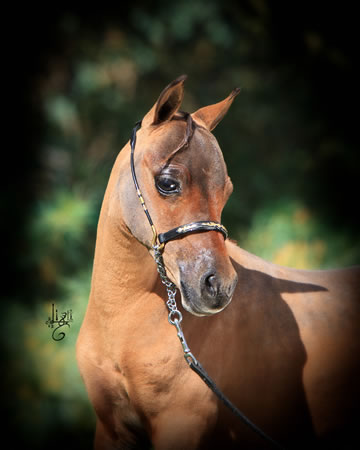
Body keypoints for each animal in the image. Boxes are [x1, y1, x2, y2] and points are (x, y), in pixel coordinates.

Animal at [76, 75, 360, 448]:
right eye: (167, 183)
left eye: (226, 191)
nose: (218, 286)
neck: (121, 323)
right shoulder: (111, 428)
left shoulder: (180, 425)